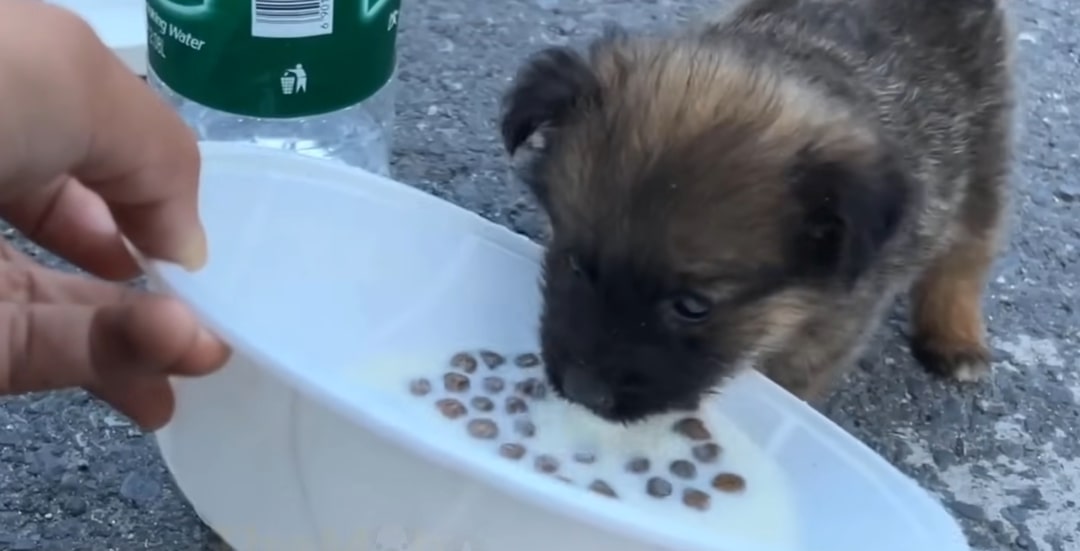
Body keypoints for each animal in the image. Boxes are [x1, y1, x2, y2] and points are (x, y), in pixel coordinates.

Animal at [494, 0, 1010, 423]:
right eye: (575, 263)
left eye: (693, 306)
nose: (582, 392)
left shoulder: (824, 339)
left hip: (987, 148)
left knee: (970, 250)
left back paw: (956, 338)